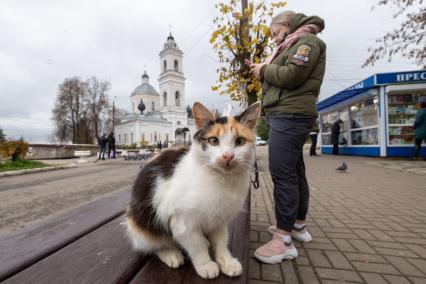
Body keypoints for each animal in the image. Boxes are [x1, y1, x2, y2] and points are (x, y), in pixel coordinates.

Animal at [125, 101, 262, 278]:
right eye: (213, 140)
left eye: (239, 142)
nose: (227, 156)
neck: (221, 179)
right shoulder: (182, 222)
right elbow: (196, 245)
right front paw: (205, 264)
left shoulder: (219, 219)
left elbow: (221, 242)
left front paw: (226, 261)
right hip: (140, 227)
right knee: (153, 245)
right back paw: (170, 253)